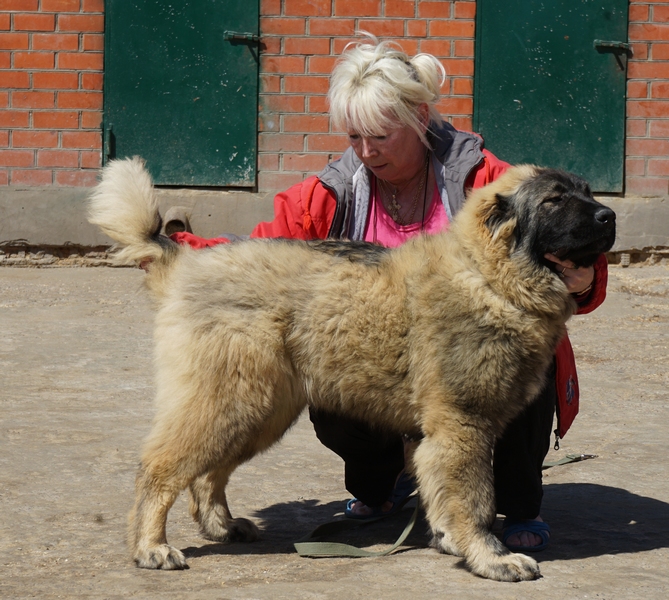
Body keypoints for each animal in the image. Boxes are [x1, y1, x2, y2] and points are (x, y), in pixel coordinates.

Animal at [90, 157, 616, 580]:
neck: (489, 276)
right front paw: (491, 558)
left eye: (588, 192)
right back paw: (152, 547)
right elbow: (475, 500)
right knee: (159, 469)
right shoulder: (462, 425)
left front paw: (451, 539)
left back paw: (223, 525)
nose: (609, 216)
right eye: (554, 201)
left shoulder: (449, 431)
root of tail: (186, 262)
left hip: (260, 409)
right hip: (231, 400)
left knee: (207, 473)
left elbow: (445, 491)